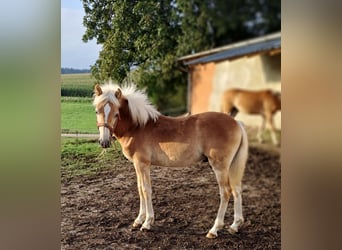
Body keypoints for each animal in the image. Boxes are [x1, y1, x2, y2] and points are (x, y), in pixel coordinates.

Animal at [93, 83, 248, 238]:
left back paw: (214, 229)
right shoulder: (137, 165)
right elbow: (139, 189)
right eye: (96, 111)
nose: (104, 142)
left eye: (116, 113)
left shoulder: (143, 164)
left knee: (226, 192)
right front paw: (138, 220)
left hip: (220, 166)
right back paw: (235, 226)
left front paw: (147, 223)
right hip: (231, 166)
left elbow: (146, 190)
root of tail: (236, 122)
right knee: (237, 189)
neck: (137, 127)